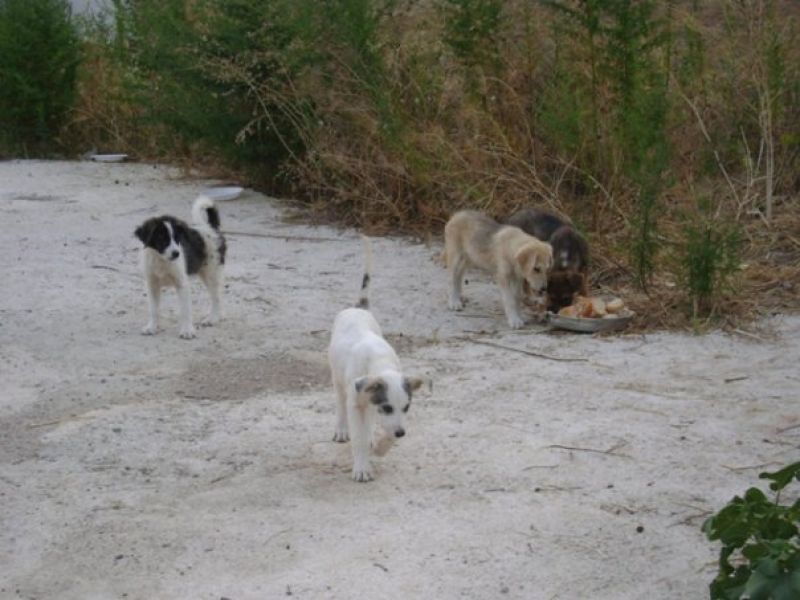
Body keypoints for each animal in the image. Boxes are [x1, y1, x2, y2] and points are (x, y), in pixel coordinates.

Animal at [134, 196, 227, 338]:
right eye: (162, 239)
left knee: (216, 297)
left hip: (211, 273)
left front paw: (187, 330)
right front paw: (152, 327)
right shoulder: (152, 285)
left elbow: (185, 310)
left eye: (177, 238)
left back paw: (212, 319)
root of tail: (211, 227)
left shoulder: (182, 284)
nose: (176, 253)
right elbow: (154, 309)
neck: (161, 260)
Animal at [326, 239, 424, 482]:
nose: (401, 433)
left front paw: (381, 446)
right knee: (341, 405)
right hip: (338, 380)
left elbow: (381, 431)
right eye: (387, 407)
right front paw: (361, 468)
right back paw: (342, 430)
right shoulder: (356, 404)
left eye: (406, 407)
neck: (379, 362)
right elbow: (358, 438)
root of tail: (358, 307)